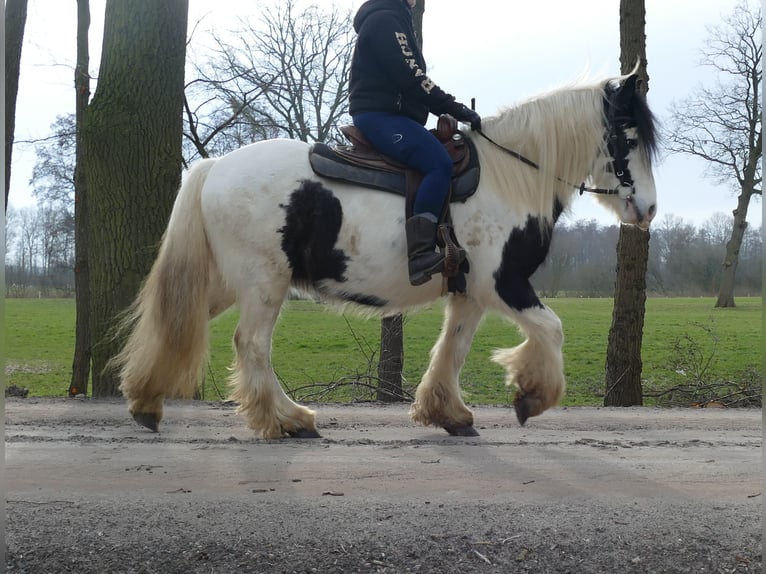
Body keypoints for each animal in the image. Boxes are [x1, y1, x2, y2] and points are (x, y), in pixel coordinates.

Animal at [112, 72, 658, 439]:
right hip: (264, 283)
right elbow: (551, 329)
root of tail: (215, 165)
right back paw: (287, 419)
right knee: (250, 344)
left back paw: (146, 401)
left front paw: (448, 413)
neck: (511, 179)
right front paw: (530, 396)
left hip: (228, 283)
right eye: (629, 138)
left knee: (177, 325)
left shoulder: (470, 293)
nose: (649, 208)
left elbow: (453, 348)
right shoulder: (501, 283)